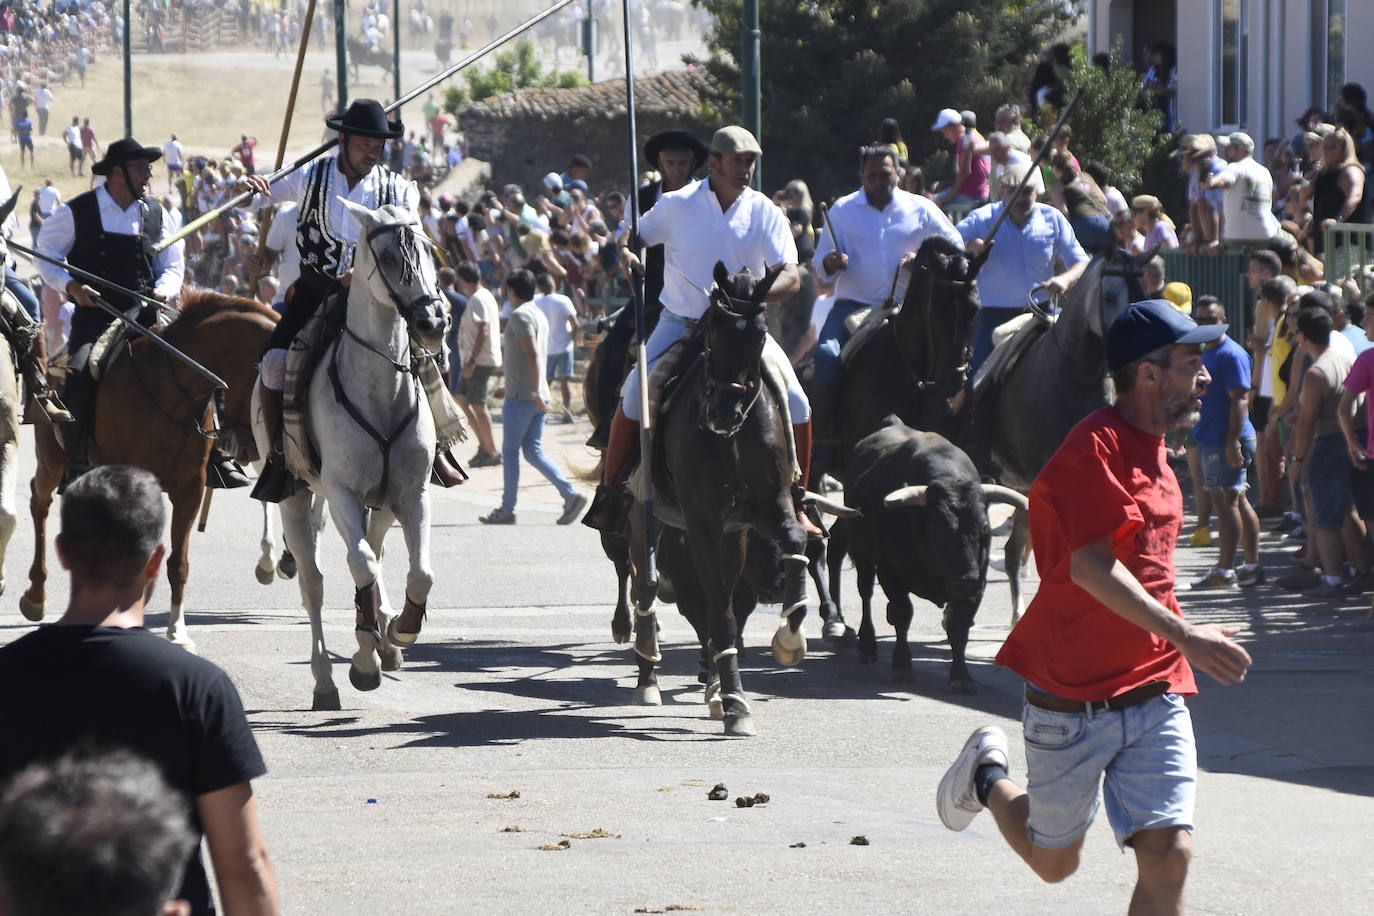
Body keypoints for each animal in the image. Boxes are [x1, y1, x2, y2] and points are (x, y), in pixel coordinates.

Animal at [20, 289, 277, 648]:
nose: (249, 446)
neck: (172, 388)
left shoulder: (189, 488)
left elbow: (177, 562)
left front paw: (177, 631)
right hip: (52, 461)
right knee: (39, 503)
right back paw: (36, 594)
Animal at [254, 200, 445, 714]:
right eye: (390, 257)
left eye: (428, 250)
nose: (433, 323)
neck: (381, 391)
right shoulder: (340, 493)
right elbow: (359, 565)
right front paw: (362, 663)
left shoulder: (412, 494)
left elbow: (419, 572)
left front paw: (399, 628)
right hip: (295, 496)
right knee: (314, 582)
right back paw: (325, 680)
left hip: (380, 503)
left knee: (376, 551)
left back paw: (384, 637)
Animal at [626, 263, 807, 736]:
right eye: (712, 334)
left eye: (759, 336)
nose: (723, 413)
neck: (734, 439)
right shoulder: (703, 521)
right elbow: (718, 611)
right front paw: (736, 705)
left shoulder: (766, 507)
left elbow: (795, 541)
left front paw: (790, 636)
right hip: (646, 517)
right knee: (646, 586)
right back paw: (648, 673)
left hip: (733, 534)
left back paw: (714, 688)